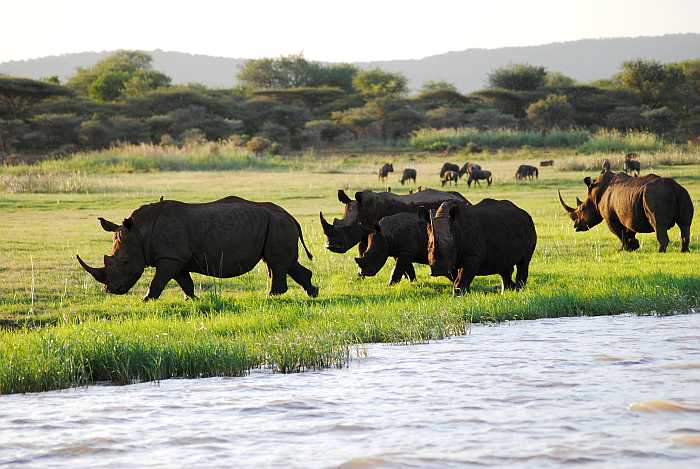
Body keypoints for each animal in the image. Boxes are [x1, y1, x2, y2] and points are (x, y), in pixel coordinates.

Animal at [78, 195, 318, 298]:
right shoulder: (175, 258)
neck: (140, 232)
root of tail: (291, 216)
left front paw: (146, 299)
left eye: (125, 262)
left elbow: (158, 281)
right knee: (285, 263)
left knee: (276, 263)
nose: (111, 290)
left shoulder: (170, 257)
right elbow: (185, 282)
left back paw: (271, 297)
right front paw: (192, 299)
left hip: (277, 224)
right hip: (276, 225)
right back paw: (312, 293)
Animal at [320, 186, 468, 254]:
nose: (331, 246)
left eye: (349, 228)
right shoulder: (364, 232)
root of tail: (463, 199)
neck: (365, 210)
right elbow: (362, 250)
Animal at [556, 171, 696, 252]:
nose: (575, 226)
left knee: (658, 225)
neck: (594, 195)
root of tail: (673, 187)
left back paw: (660, 252)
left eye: (581, 209)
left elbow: (619, 233)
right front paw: (634, 247)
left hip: (655, 196)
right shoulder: (629, 213)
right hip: (683, 193)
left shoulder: (610, 218)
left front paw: (623, 249)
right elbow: (629, 231)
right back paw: (684, 251)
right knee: (685, 225)